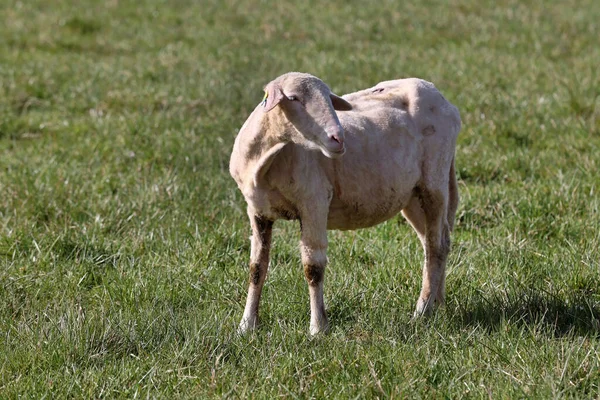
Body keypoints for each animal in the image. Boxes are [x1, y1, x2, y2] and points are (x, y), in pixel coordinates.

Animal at [229, 71, 460, 334]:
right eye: (294, 98)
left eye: (329, 99)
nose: (338, 139)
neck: (268, 159)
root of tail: (441, 98)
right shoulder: (257, 210)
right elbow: (257, 266)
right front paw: (246, 325)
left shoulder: (314, 201)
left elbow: (313, 267)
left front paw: (318, 328)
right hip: (412, 195)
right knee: (436, 241)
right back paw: (437, 303)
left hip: (435, 182)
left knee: (436, 245)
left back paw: (422, 311)